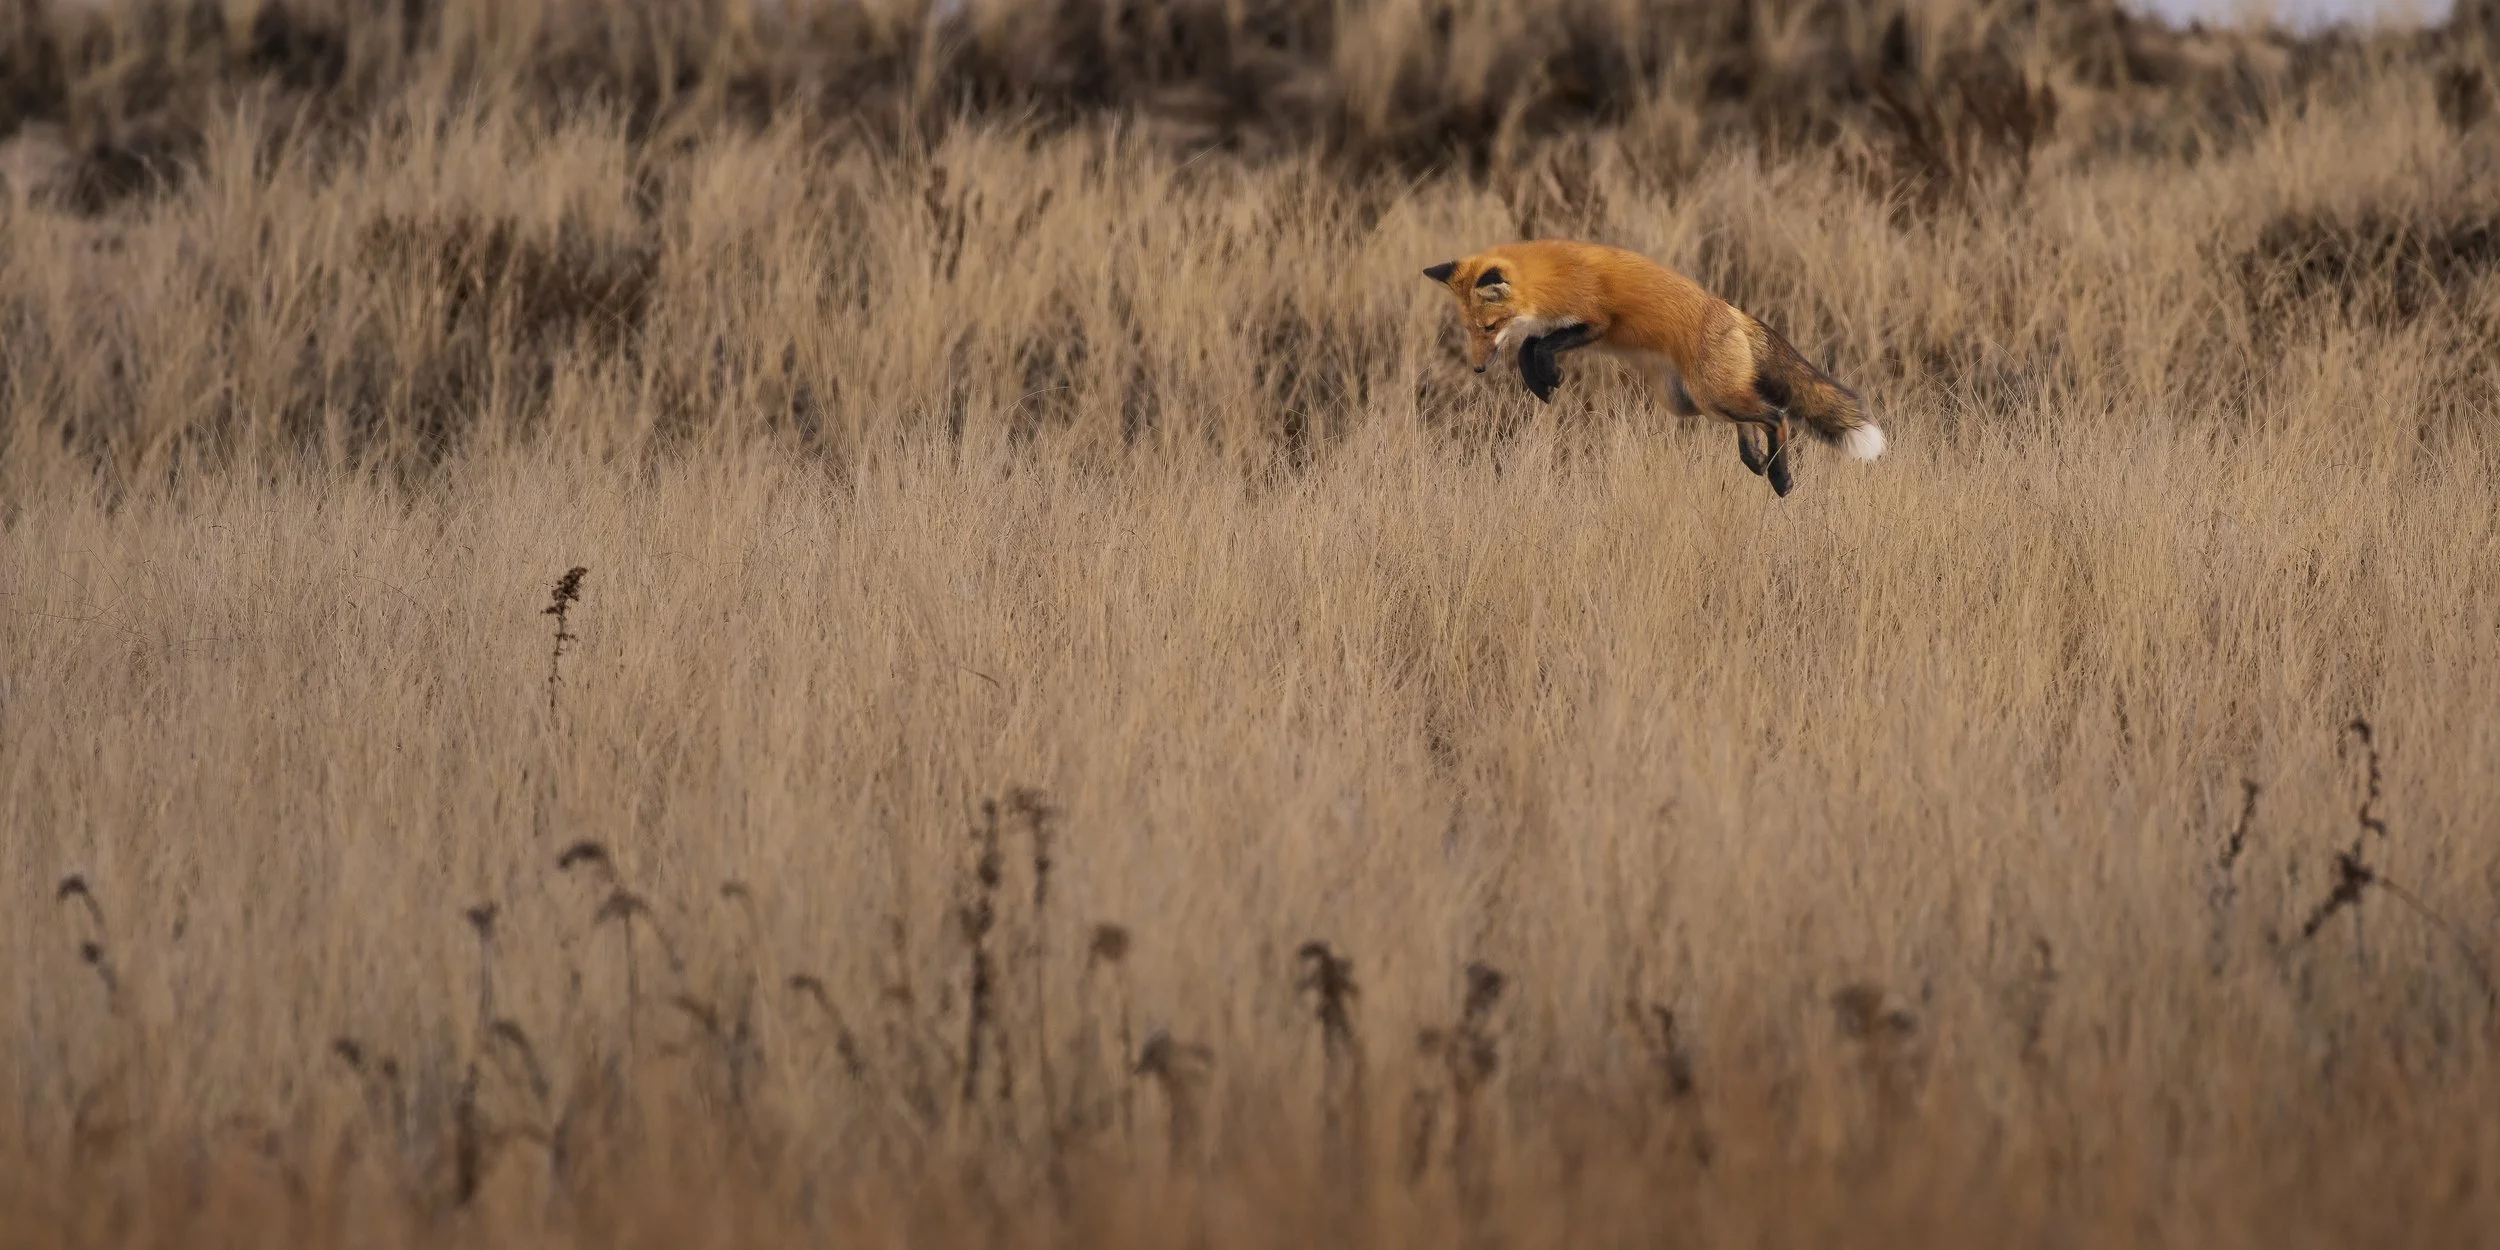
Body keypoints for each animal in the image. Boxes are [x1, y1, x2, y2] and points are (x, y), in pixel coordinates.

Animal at [1422, 239, 1886, 496]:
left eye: (1489, 327)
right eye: (1469, 330)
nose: (1478, 369)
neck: (1549, 279)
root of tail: (1733, 312)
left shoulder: (1598, 322)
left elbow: (1539, 344)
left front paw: (1545, 377)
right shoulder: (1565, 326)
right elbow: (1530, 346)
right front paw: (1542, 380)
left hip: (1713, 395)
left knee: (1778, 416)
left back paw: (1779, 476)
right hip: (1691, 400)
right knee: (1753, 420)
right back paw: (1756, 460)